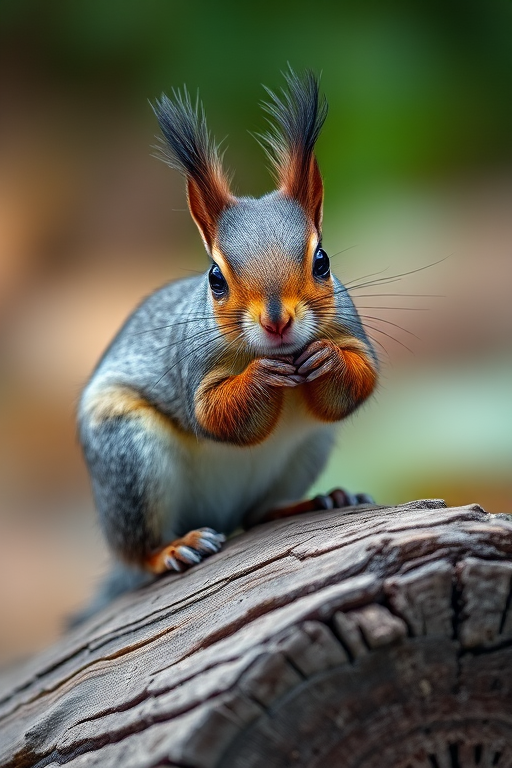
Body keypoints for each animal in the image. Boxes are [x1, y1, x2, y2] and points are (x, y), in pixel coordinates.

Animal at [76, 69, 378, 621]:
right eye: (216, 278)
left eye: (321, 261)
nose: (278, 322)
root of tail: (219, 512)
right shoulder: (192, 366)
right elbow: (214, 416)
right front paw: (259, 378)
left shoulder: (354, 333)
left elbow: (360, 381)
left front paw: (326, 362)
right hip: (129, 456)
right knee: (140, 549)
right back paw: (173, 549)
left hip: (308, 451)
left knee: (256, 513)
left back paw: (315, 501)